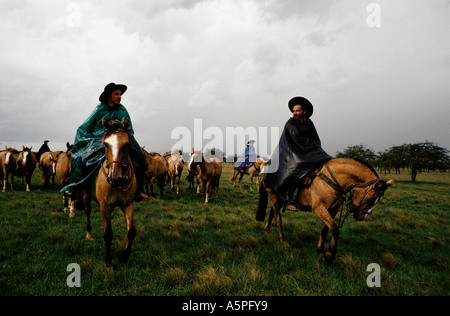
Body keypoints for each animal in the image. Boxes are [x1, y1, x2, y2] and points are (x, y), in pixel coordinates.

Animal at [80, 118, 137, 266]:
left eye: (127, 144)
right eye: (105, 144)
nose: (114, 178)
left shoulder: (128, 204)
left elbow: (131, 232)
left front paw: (124, 256)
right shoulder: (104, 205)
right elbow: (108, 234)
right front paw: (108, 259)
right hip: (86, 196)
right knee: (87, 211)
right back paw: (89, 234)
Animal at [255, 158, 396, 264]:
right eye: (370, 199)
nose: (360, 217)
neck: (333, 179)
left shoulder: (332, 210)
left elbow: (325, 229)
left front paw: (320, 250)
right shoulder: (319, 208)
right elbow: (334, 229)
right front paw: (330, 254)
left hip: (280, 198)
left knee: (272, 213)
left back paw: (267, 230)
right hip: (273, 195)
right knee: (278, 217)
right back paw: (283, 241)